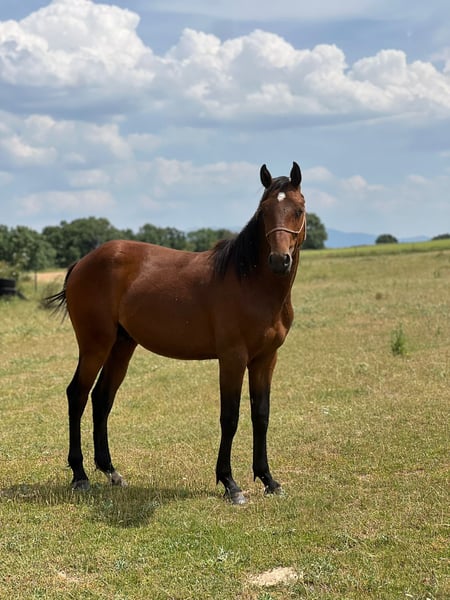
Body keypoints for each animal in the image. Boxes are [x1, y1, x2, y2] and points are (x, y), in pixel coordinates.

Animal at [46, 162, 306, 505]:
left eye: (299, 210)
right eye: (264, 211)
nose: (279, 260)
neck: (251, 283)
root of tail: (83, 263)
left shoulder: (266, 359)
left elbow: (261, 415)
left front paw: (268, 480)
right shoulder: (233, 358)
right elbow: (230, 417)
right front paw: (230, 484)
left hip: (121, 345)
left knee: (102, 398)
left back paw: (111, 471)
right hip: (95, 346)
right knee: (77, 395)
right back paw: (80, 475)